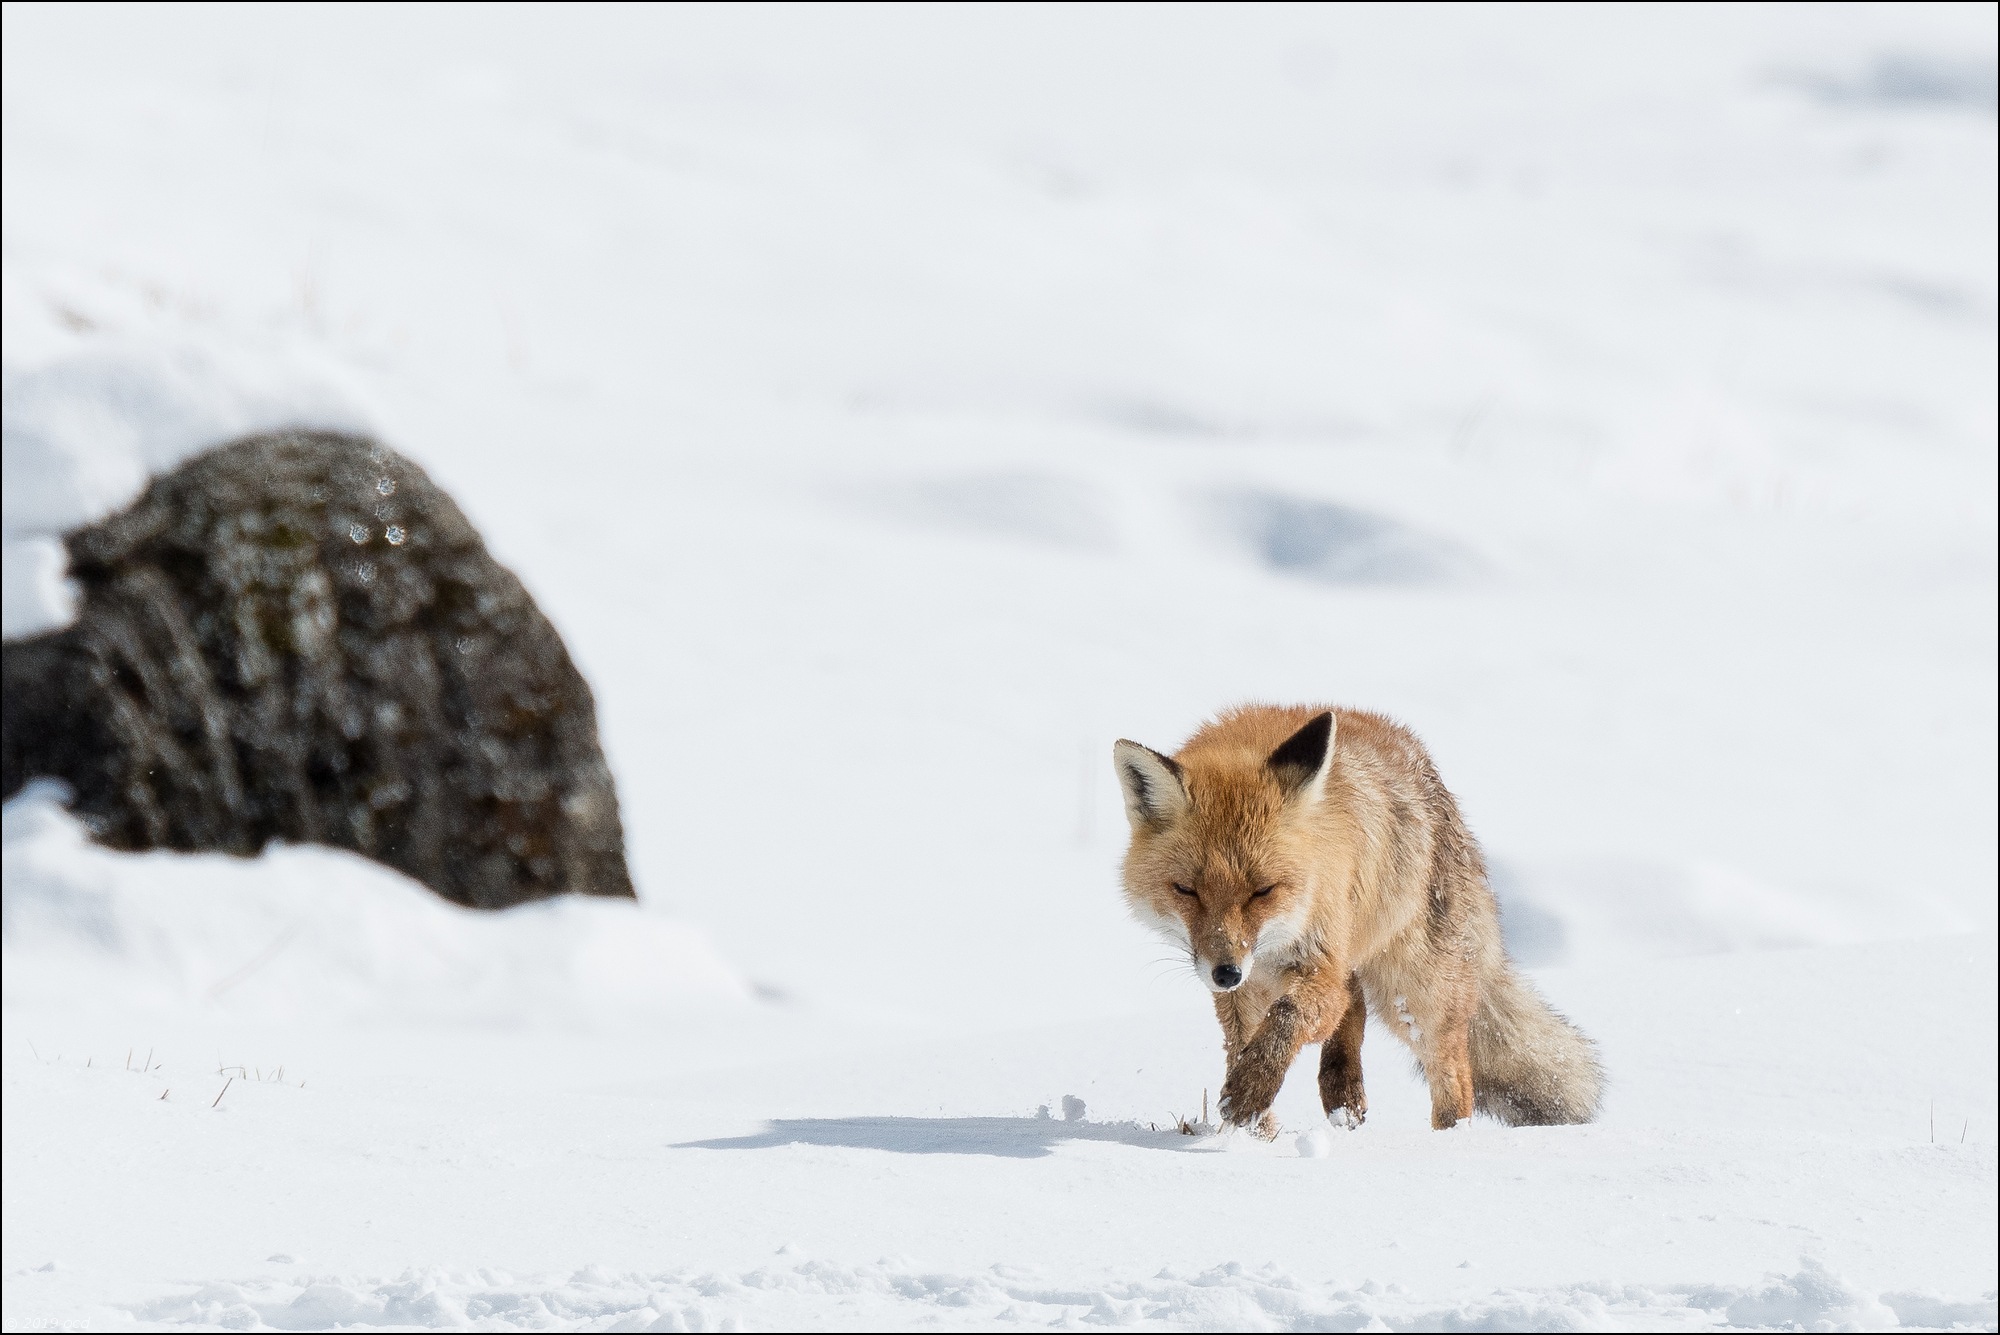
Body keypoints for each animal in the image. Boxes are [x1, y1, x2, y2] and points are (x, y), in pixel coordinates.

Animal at [1120, 703, 1600, 1135]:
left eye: (1263, 891)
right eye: (1187, 890)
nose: (1226, 973)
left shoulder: (1316, 963)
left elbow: (1287, 1020)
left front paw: (1249, 1095)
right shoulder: (1247, 990)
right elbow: (1245, 1045)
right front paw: (1256, 1132)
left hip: (1415, 991)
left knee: (1453, 1071)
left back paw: (1449, 1141)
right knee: (1355, 1003)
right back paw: (1343, 1095)